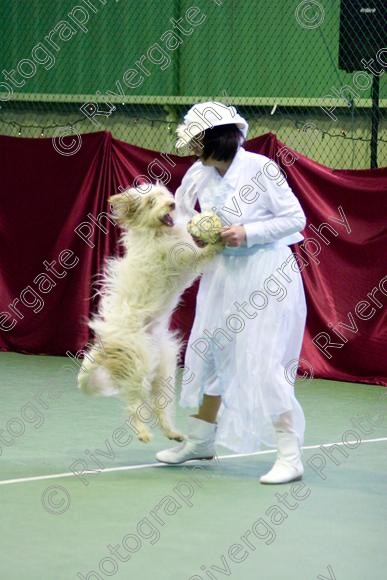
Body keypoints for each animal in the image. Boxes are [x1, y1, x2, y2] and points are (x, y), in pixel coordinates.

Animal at [77, 184, 223, 442]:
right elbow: (197, 252)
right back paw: (143, 432)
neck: (159, 233)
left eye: (166, 196)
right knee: (133, 404)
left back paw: (172, 432)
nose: (172, 204)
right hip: (138, 364)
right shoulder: (181, 254)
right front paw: (215, 242)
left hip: (163, 368)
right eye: (150, 202)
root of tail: (106, 345)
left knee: (158, 405)